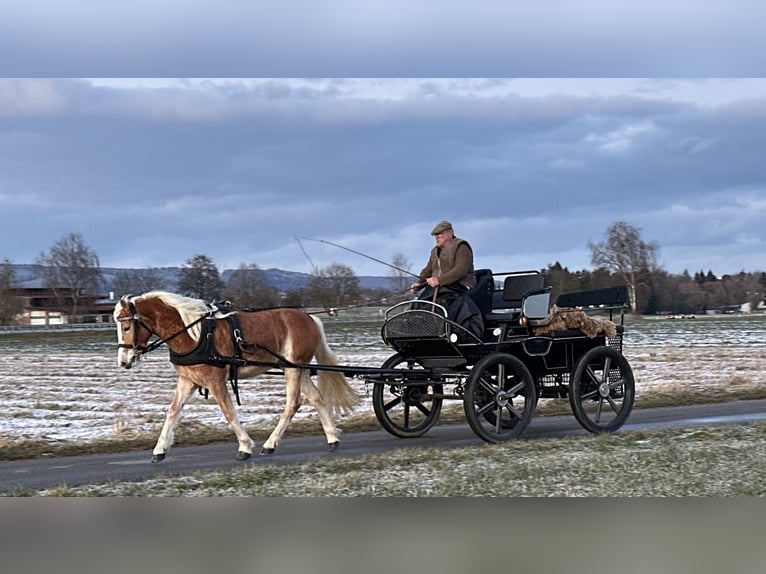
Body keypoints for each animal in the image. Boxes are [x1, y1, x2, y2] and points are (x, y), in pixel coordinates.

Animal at [113, 292, 360, 464]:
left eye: (126, 326)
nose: (124, 361)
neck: (195, 334)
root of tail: (309, 317)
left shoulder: (215, 382)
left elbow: (229, 412)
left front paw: (245, 447)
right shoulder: (188, 381)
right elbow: (173, 412)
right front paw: (159, 450)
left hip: (292, 369)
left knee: (293, 403)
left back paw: (270, 444)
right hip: (298, 368)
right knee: (316, 398)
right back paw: (332, 438)